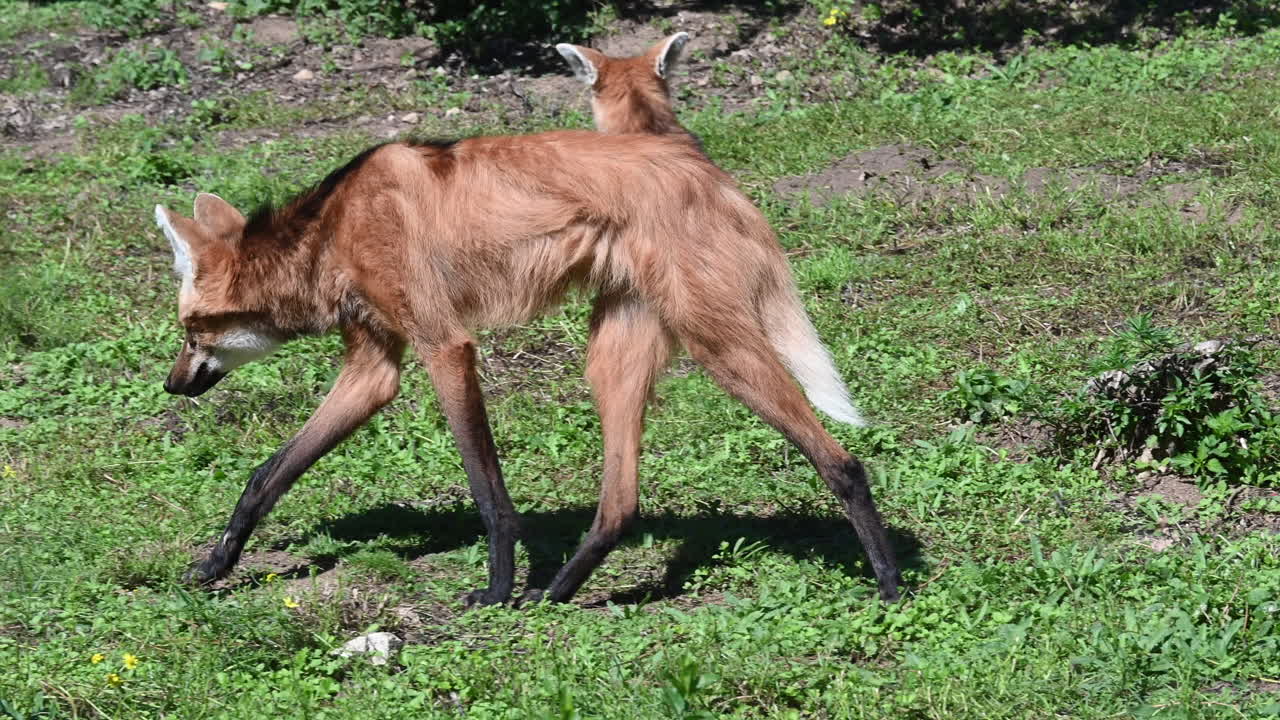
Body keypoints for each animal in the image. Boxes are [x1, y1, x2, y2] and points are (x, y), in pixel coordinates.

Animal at [156, 128, 903, 607]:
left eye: (190, 332)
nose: (172, 383)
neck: (328, 234)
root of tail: (718, 178)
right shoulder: (374, 369)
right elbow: (266, 476)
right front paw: (216, 563)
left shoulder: (445, 347)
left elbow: (488, 494)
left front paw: (493, 589)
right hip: (612, 354)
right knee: (620, 501)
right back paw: (555, 592)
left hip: (719, 347)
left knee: (841, 461)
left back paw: (892, 586)